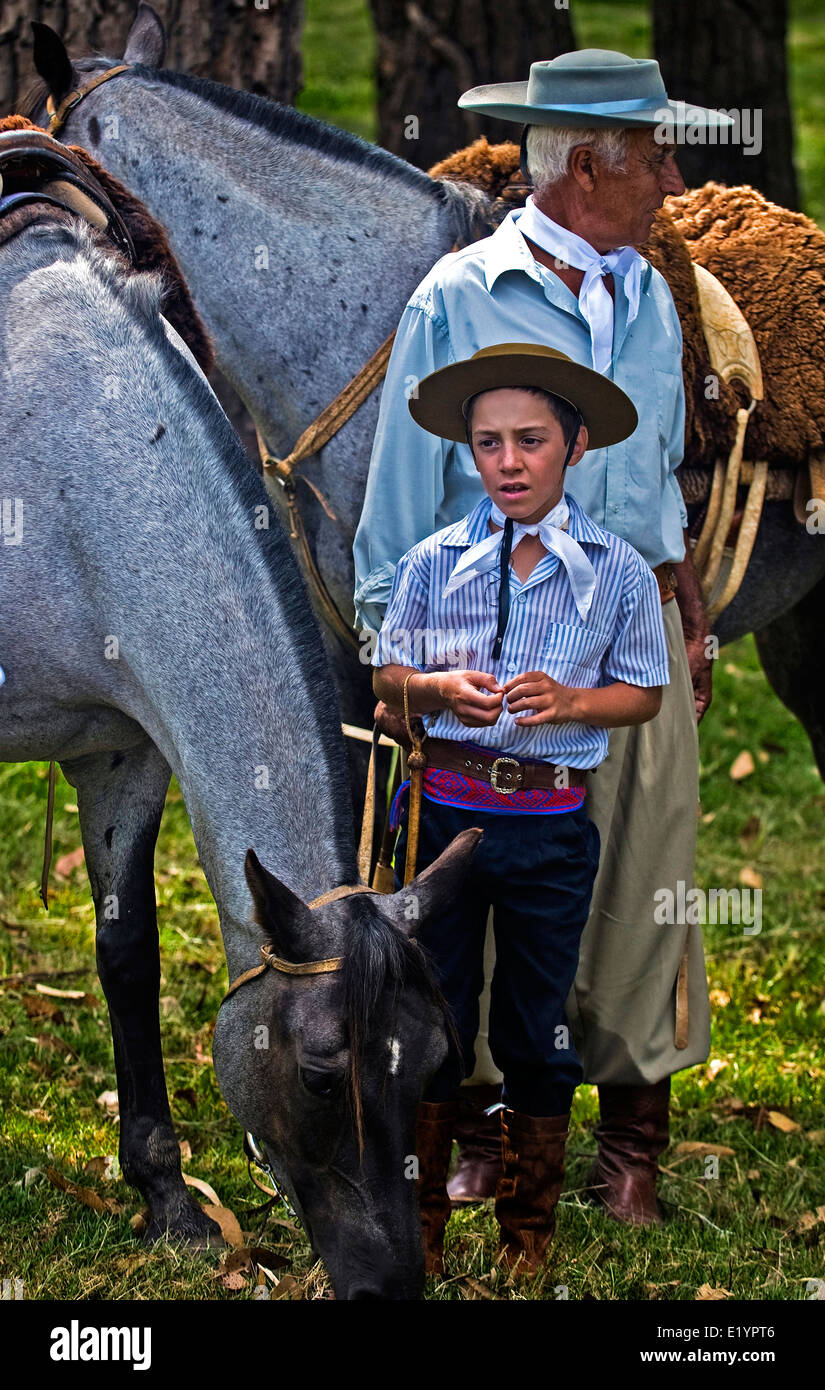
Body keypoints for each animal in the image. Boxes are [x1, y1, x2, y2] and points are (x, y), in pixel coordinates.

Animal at [0, 201, 477, 1295]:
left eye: (435, 1060)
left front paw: (165, 1195)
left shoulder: (126, 752)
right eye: (319, 1071)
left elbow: (127, 954)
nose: (392, 1282)